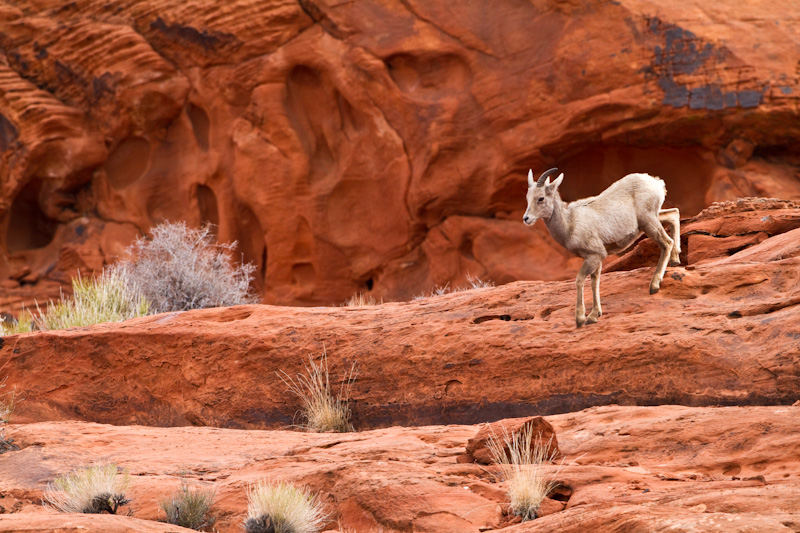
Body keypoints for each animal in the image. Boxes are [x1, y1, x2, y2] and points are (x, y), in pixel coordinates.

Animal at [524, 170, 680, 326]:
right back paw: (675, 260)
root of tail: (657, 182)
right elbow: (595, 282)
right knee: (674, 214)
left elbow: (580, 280)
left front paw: (581, 319)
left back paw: (654, 286)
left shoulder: (593, 256)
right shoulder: (597, 258)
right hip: (651, 220)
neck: (570, 224)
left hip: (648, 222)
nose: (526, 218)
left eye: (541, 198)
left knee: (667, 242)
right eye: (528, 197)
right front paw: (594, 315)